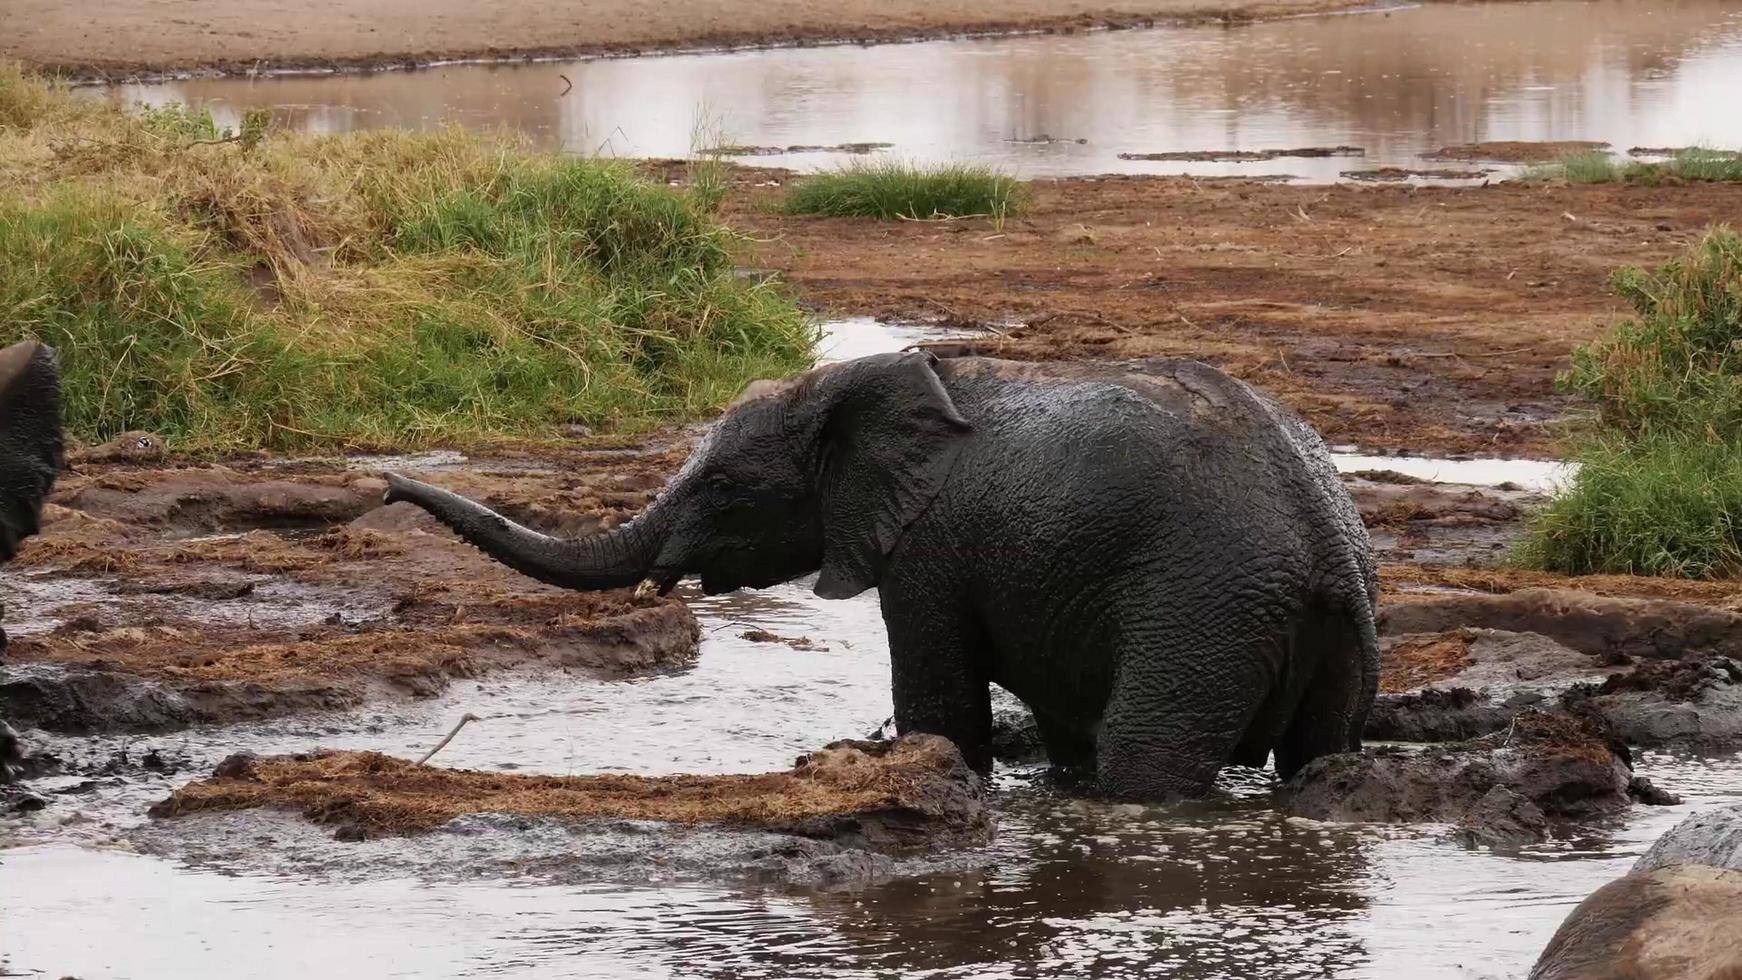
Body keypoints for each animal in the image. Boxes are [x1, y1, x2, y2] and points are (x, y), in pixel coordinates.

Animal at [388, 356, 1379, 800]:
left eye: (722, 486)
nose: (389, 484)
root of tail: (1327, 547)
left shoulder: (931, 548)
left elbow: (941, 698)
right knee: (1320, 748)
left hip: (1203, 608)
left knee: (1149, 756)